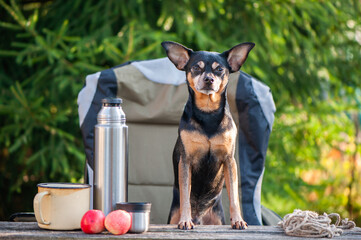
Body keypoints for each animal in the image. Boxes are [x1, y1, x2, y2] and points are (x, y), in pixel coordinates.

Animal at [162, 41, 255, 231]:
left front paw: (238, 220)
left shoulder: (229, 160)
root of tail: (199, 217)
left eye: (219, 69)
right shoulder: (185, 160)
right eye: (196, 67)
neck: (208, 113)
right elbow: (185, 194)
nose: (209, 79)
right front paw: (185, 220)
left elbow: (234, 196)